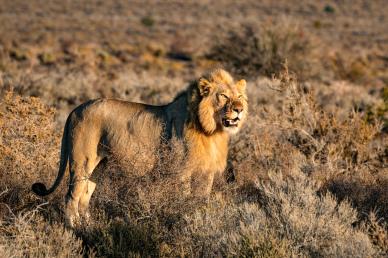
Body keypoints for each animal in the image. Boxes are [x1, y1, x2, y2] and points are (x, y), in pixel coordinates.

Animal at [31, 68, 249, 226]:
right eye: (223, 96)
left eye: (239, 96)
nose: (239, 110)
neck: (211, 131)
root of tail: (75, 110)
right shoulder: (182, 172)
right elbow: (185, 199)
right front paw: (184, 218)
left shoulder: (206, 172)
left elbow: (202, 199)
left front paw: (201, 217)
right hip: (82, 162)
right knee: (71, 197)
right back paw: (74, 228)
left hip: (99, 166)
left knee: (85, 196)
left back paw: (89, 226)